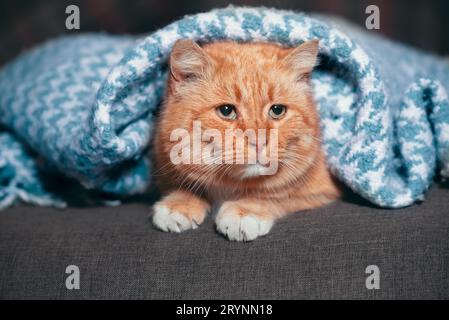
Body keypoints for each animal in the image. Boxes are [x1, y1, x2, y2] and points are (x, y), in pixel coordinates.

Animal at [150, 38, 340, 241]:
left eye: (277, 110)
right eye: (226, 110)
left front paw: (247, 211)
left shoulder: (323, 192)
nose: (259, 142)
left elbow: (276, 195)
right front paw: (180, 202)